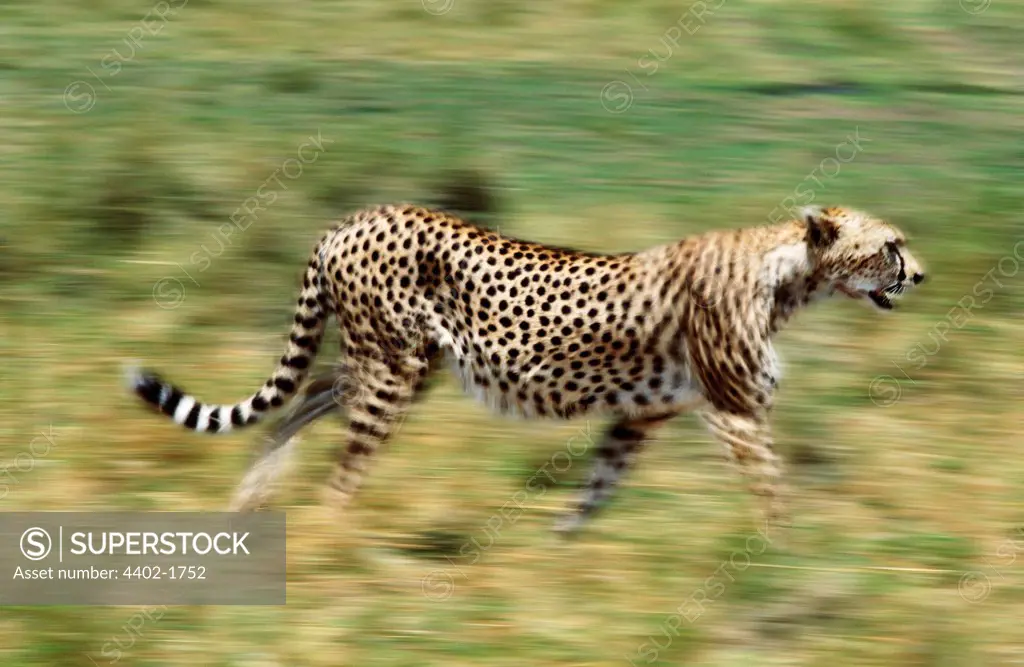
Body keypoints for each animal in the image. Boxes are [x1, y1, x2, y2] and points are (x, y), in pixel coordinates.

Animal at [128, 203, 929, 532]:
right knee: (343, 457)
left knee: (307, 396)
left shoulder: (642, 414)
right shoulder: (735, 410)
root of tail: (352, 217)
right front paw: (781, 556)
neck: (789, 270)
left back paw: (253, 500)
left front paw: (561, 551)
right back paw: (329, 538)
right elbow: (771, 488)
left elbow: (597, 491)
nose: (920, 274)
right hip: (392, 366)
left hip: (391, 363)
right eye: (891, 244)